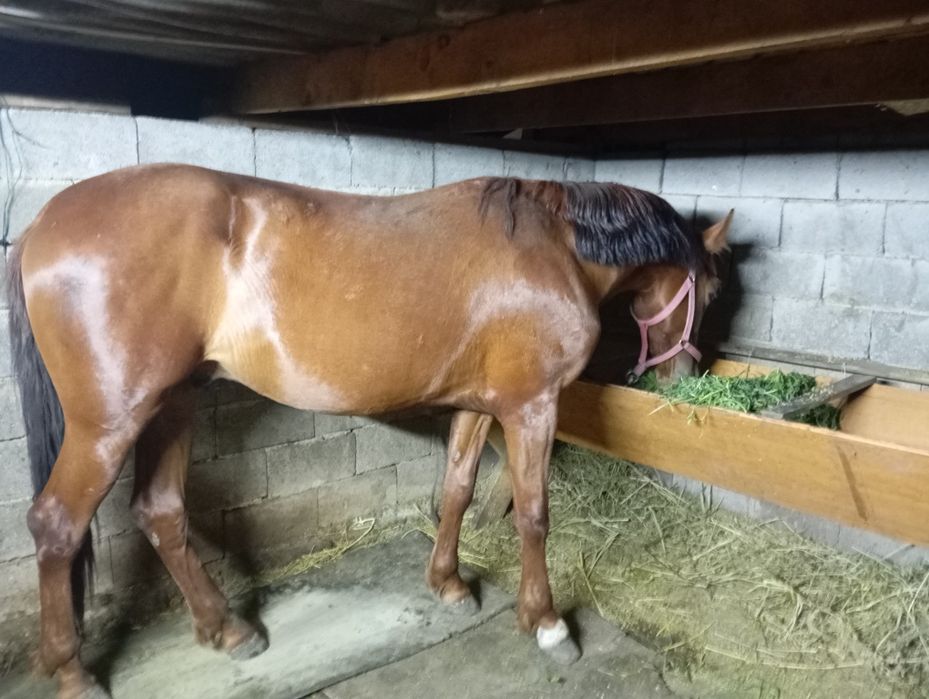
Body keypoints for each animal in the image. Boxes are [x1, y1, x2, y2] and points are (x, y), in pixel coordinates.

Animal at [7, 163, 731, 698]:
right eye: (713, 292)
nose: (683, 377)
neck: (554, 249)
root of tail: (42, 224)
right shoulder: (531, 406)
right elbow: (532, 514)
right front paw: (546, 622)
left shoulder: (479, 405)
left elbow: (456, 491)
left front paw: (448, 584)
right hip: (109, 423)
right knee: (56, 525)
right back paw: (73, 671)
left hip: (172, 404)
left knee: (160, 511)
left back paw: (227, 630)